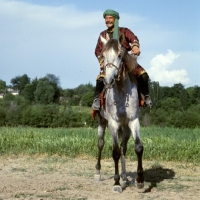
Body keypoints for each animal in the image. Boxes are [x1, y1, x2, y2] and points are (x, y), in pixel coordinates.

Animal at [94, 35, 145, 193]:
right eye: (103, 56)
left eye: (119, 55)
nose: (108, 80)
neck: (122, 91)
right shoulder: (113, 123)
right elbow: (115, 151)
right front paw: (116, 183)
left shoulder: (133, 121)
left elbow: (138, 147)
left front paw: (140, 181)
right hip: (102, 122)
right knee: (101, 144)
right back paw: (98, 173)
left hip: (126, 128)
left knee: (124, 148)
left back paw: (124, 177)